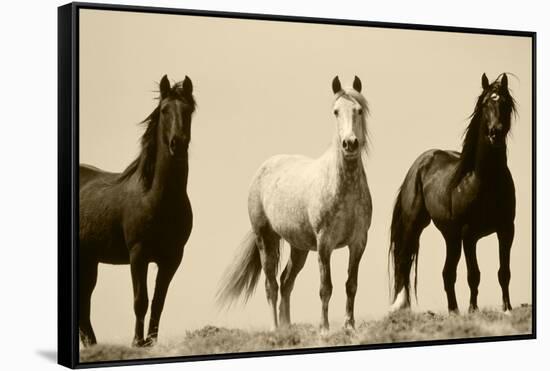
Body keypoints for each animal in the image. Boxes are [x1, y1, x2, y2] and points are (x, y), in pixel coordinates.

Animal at [78, 75, 196, 348]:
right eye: (164, 110)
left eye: (188, 110)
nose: (178, 144)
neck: (156, 197)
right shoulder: (138, 254)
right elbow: (140, 300)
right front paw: (136, 342)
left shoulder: (172, 258)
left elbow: (158, 302)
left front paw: (150, 342)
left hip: (89, 261)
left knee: (84, 304)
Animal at [220, 76, 376, 334]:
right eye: (335, 111)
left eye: (359, 110)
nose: (350, 144)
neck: (342, 187)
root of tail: (263, 169)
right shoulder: (324, 244)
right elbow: (326, 287)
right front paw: (324, 328)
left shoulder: (358, 242)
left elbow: (351, 284)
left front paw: (349, 326)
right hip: (266, 239)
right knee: (271, 285)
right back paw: (276, 329)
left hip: (299, 247)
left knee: (286, 282)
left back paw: (287, 326)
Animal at [392, 74, 516, 316]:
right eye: (485, 103)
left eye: (505, 103)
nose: (495, 133)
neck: (484, 180)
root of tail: (418, 165)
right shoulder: (469, 234)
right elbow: (474, 274)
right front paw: (473, 310)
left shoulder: (506, 229)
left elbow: (504, 272)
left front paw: (507, 308)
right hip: (416, 226)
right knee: (403, 262)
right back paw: (402, 307)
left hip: (451, 236)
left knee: (447, 273)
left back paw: (453, 311)